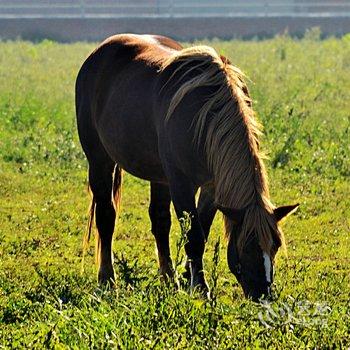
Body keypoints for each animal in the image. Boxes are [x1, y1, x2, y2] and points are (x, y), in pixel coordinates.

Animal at [76, 33, 298, 300]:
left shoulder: (213, 185)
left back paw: (169, 278)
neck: (206, 117)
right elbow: (194, 234)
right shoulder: (181, 183)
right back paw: (108, 279)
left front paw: (187, 277)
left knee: (160, 221)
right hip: (100, 161)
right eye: (247, 245)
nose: (262, 294)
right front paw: (201, 288)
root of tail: (98, 53)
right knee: (106, 216)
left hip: (158, 175)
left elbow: (201, 229)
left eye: (276, 244)